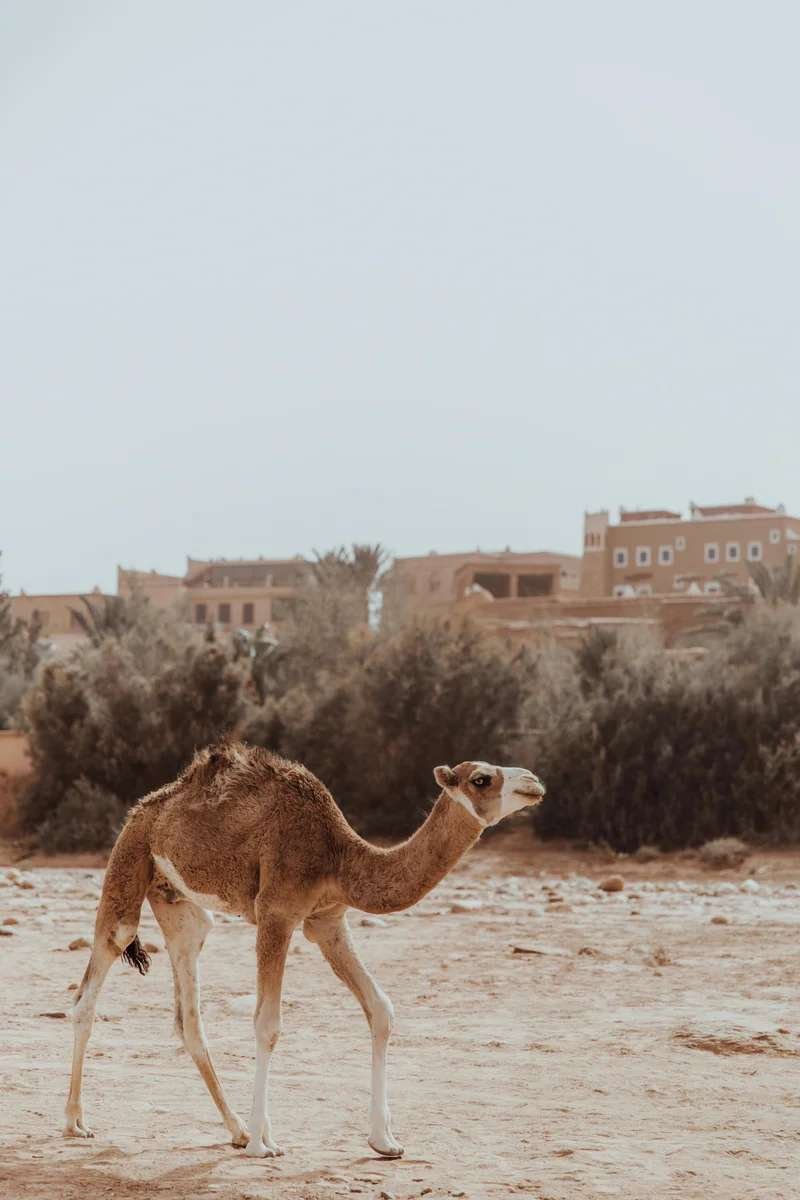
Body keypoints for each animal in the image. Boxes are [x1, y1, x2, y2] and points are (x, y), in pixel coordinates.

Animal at [65, 742, 545, 1158]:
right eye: (482, 779)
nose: (534, 782)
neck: (340, 857)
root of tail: (146, 806)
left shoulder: (327, 921)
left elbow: (381, 1009)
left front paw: (384, 1140)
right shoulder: (278, 912)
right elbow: (267, 1024)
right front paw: (265, 1145)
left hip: (179, 905)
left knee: (189, 1014)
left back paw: (237, 1129)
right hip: (129, 860)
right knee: (92, 984)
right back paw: (75, 1122)